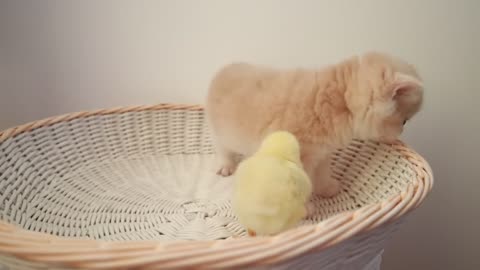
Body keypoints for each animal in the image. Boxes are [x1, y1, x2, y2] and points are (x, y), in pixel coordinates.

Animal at [204, 51, 422, 197]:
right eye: (404, 121)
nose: (400, 132)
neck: (341, 100)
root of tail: (224, 70)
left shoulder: (322, 153)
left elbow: (323, 174)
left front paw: (327, 189)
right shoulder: (299, 158)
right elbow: (302, 183)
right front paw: (307, 209)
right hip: (220, 132)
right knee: (222, 149)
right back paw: (226, 166)